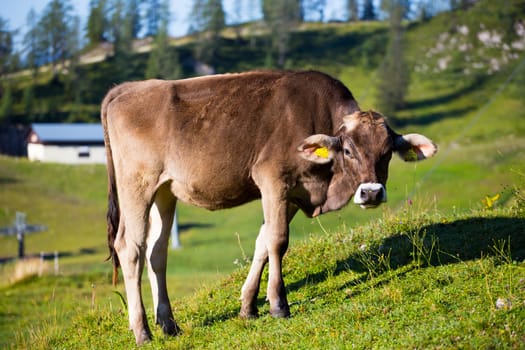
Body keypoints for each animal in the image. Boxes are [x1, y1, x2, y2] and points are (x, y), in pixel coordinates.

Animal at [100, 69, 436, 344]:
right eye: (349, 151)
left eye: (387, 152)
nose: (371, 193)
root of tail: (128, 88)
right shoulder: (273, 179)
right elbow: (277, 241)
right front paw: (278, 304)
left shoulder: (294, 193)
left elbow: (263, 240)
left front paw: (248, 306)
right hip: (137, 184)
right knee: (130, 248)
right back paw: (142, 331)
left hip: (165, 191)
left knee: (157, 251)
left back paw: (169, 324)